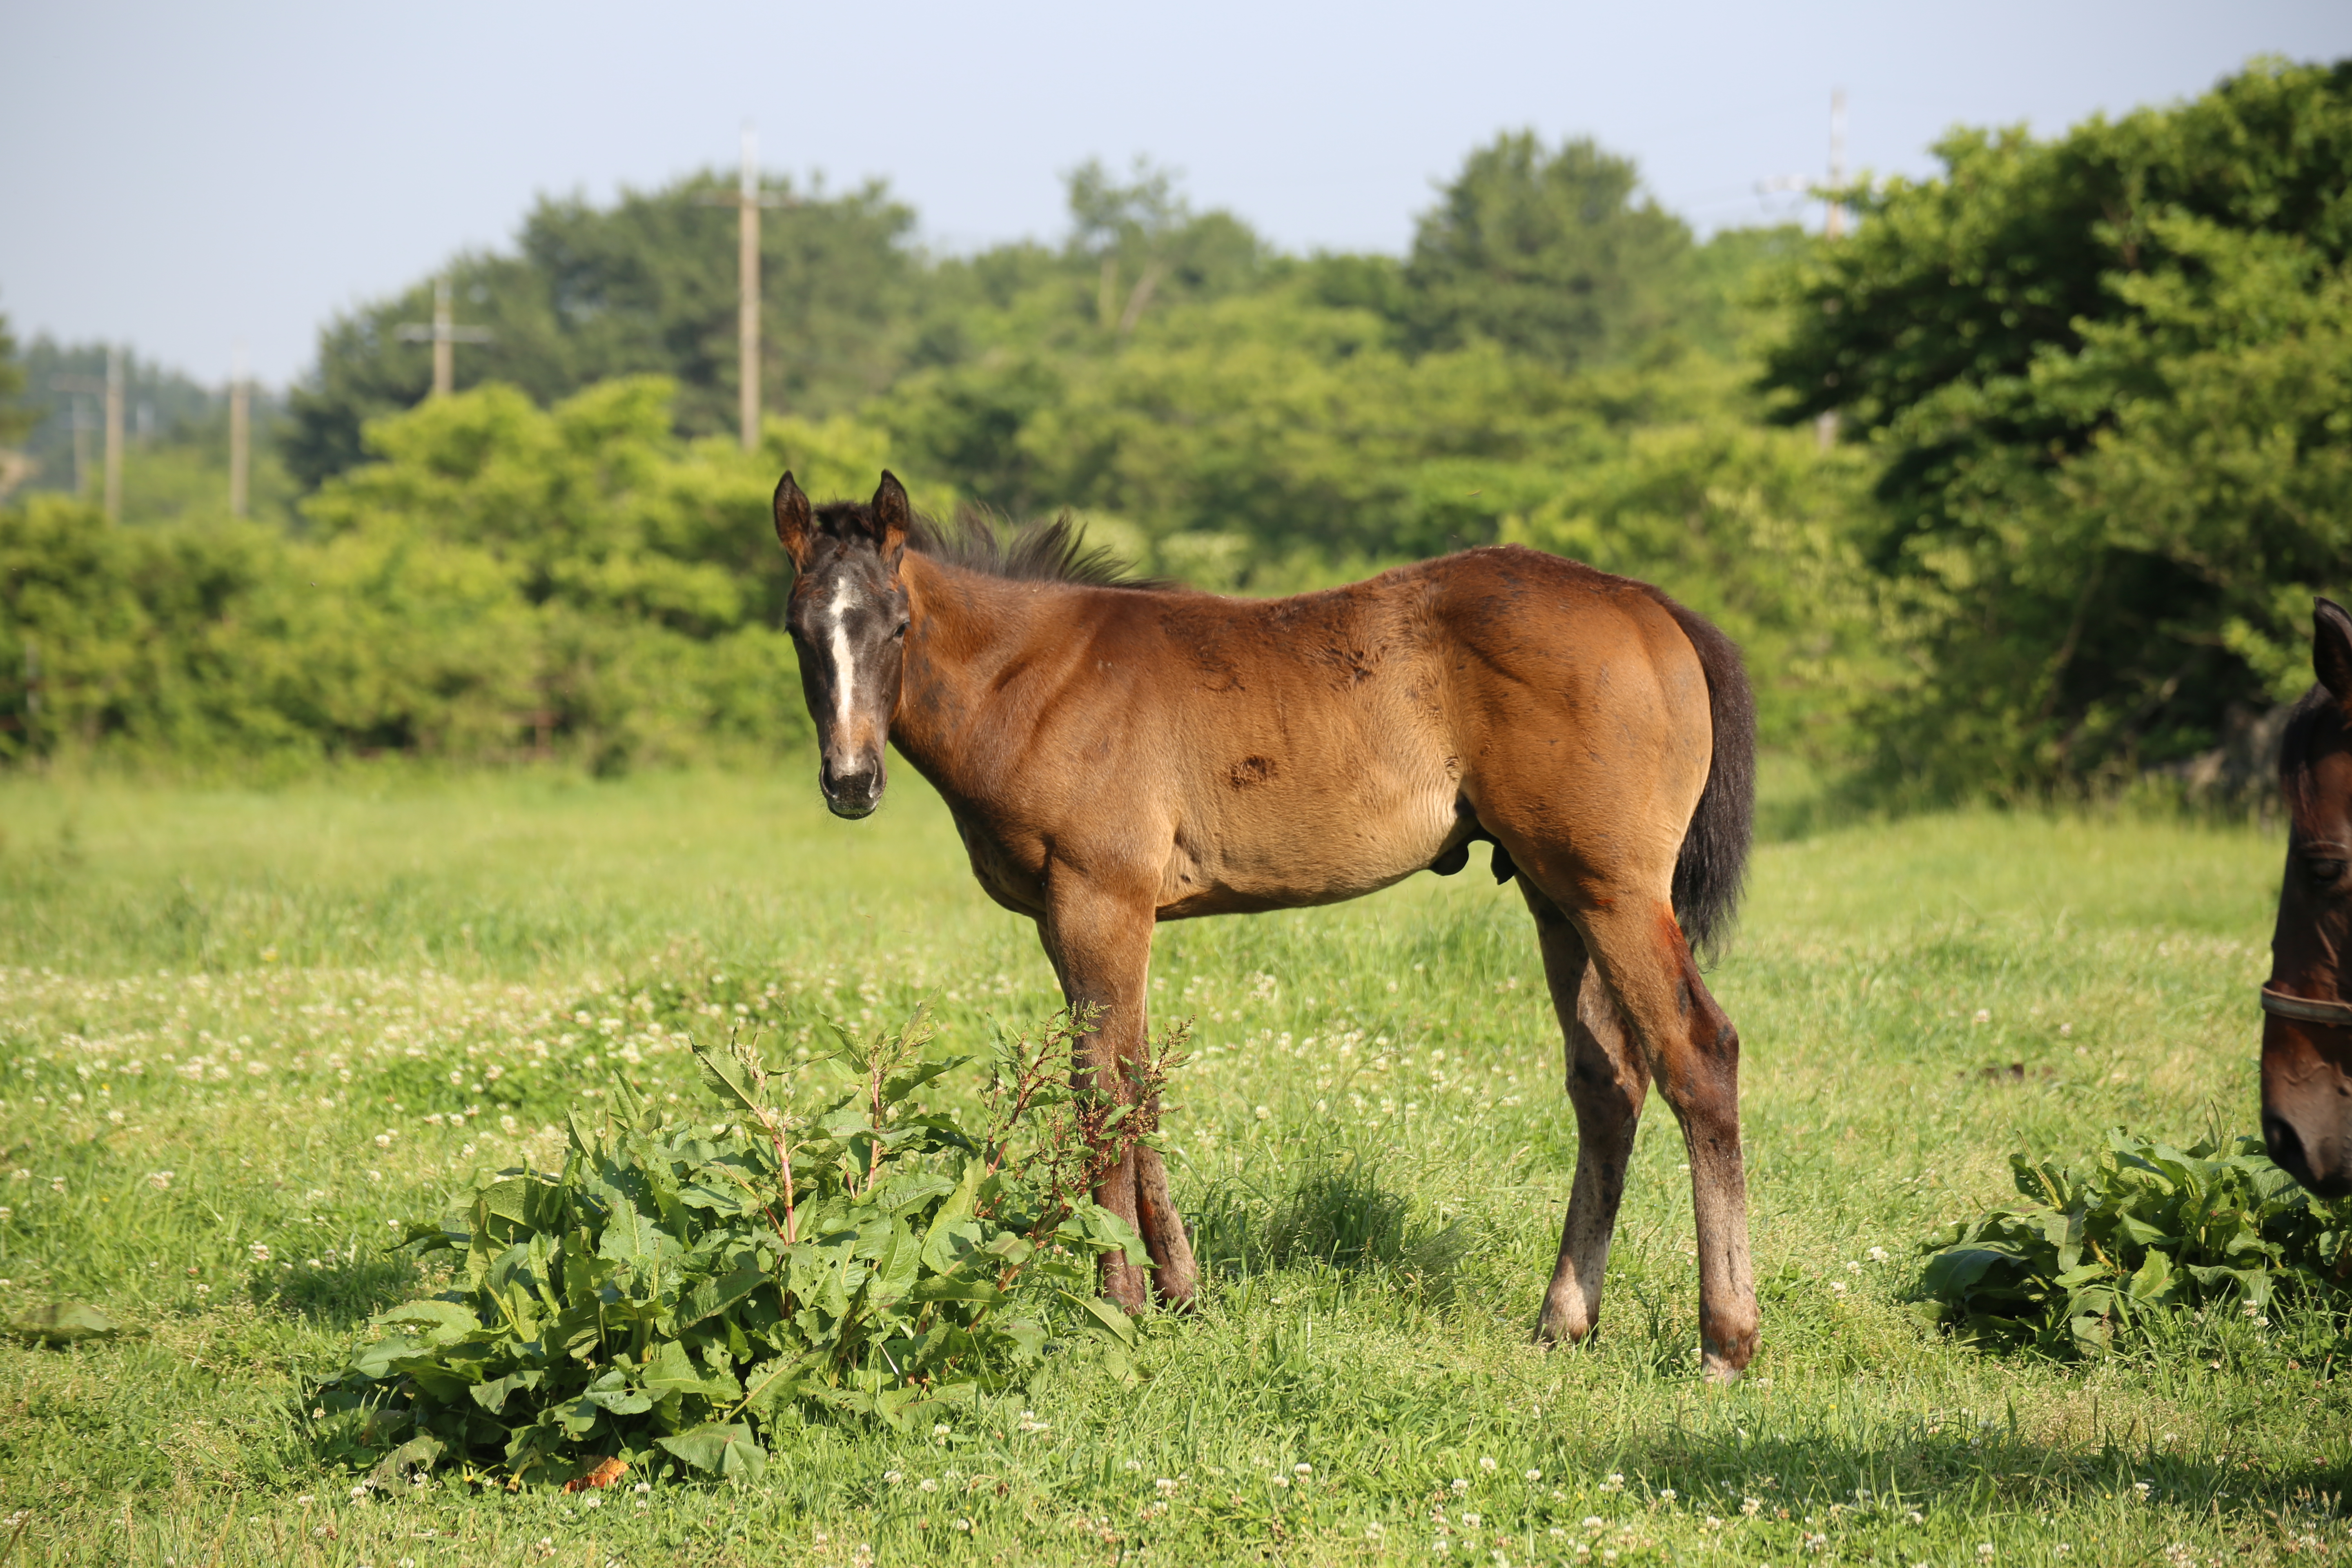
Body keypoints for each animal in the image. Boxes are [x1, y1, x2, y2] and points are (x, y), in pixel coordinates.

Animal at [771, 472, 1768, 1382]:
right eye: (799, 633)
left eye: (898, 627)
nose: (851, 783)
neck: (1035, 677)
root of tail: (1650, 605)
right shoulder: (1089, 917)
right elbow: (1144, 1088)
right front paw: (1179, 1291)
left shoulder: (1098, 900)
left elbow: (1104, 1096)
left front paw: (1118, 1303)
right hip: (1557, 896)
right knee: (1607, 1084)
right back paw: (1564, 1320)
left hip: (1615, 892)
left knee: (1697, 1054)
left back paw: (1724, 1343)